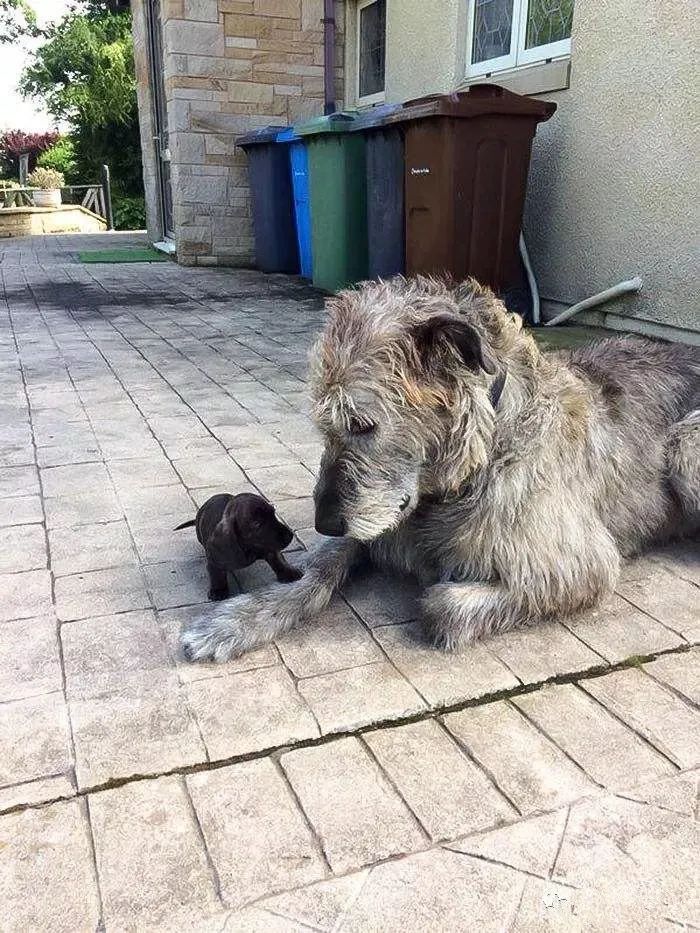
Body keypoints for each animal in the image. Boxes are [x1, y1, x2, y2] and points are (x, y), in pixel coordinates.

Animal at [182, 274, 700, 660]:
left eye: (362, 423)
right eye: (323, 424)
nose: (324, 522)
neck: (486, 452)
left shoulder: (579, 565)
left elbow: (439, 605)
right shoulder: (380, 521)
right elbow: (318, 569)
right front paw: (237, 620)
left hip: (686, 445)